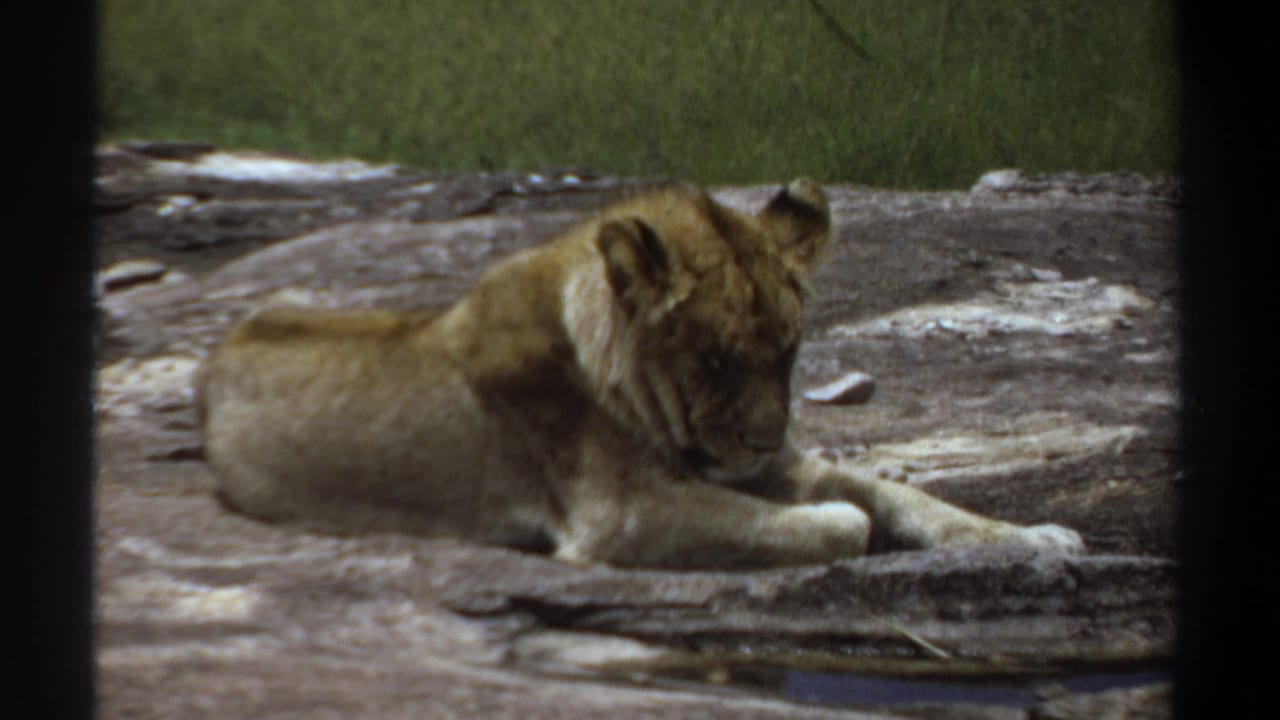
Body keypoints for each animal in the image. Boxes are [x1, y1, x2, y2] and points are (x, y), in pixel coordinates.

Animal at [198, 179, 1084, 568]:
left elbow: (904, 496)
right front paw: (840, 524)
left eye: (789, 352)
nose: (763, 442)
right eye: (716, 360)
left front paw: (1037, 537)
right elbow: (841, 520)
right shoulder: (621, 514)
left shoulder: (763, 462)